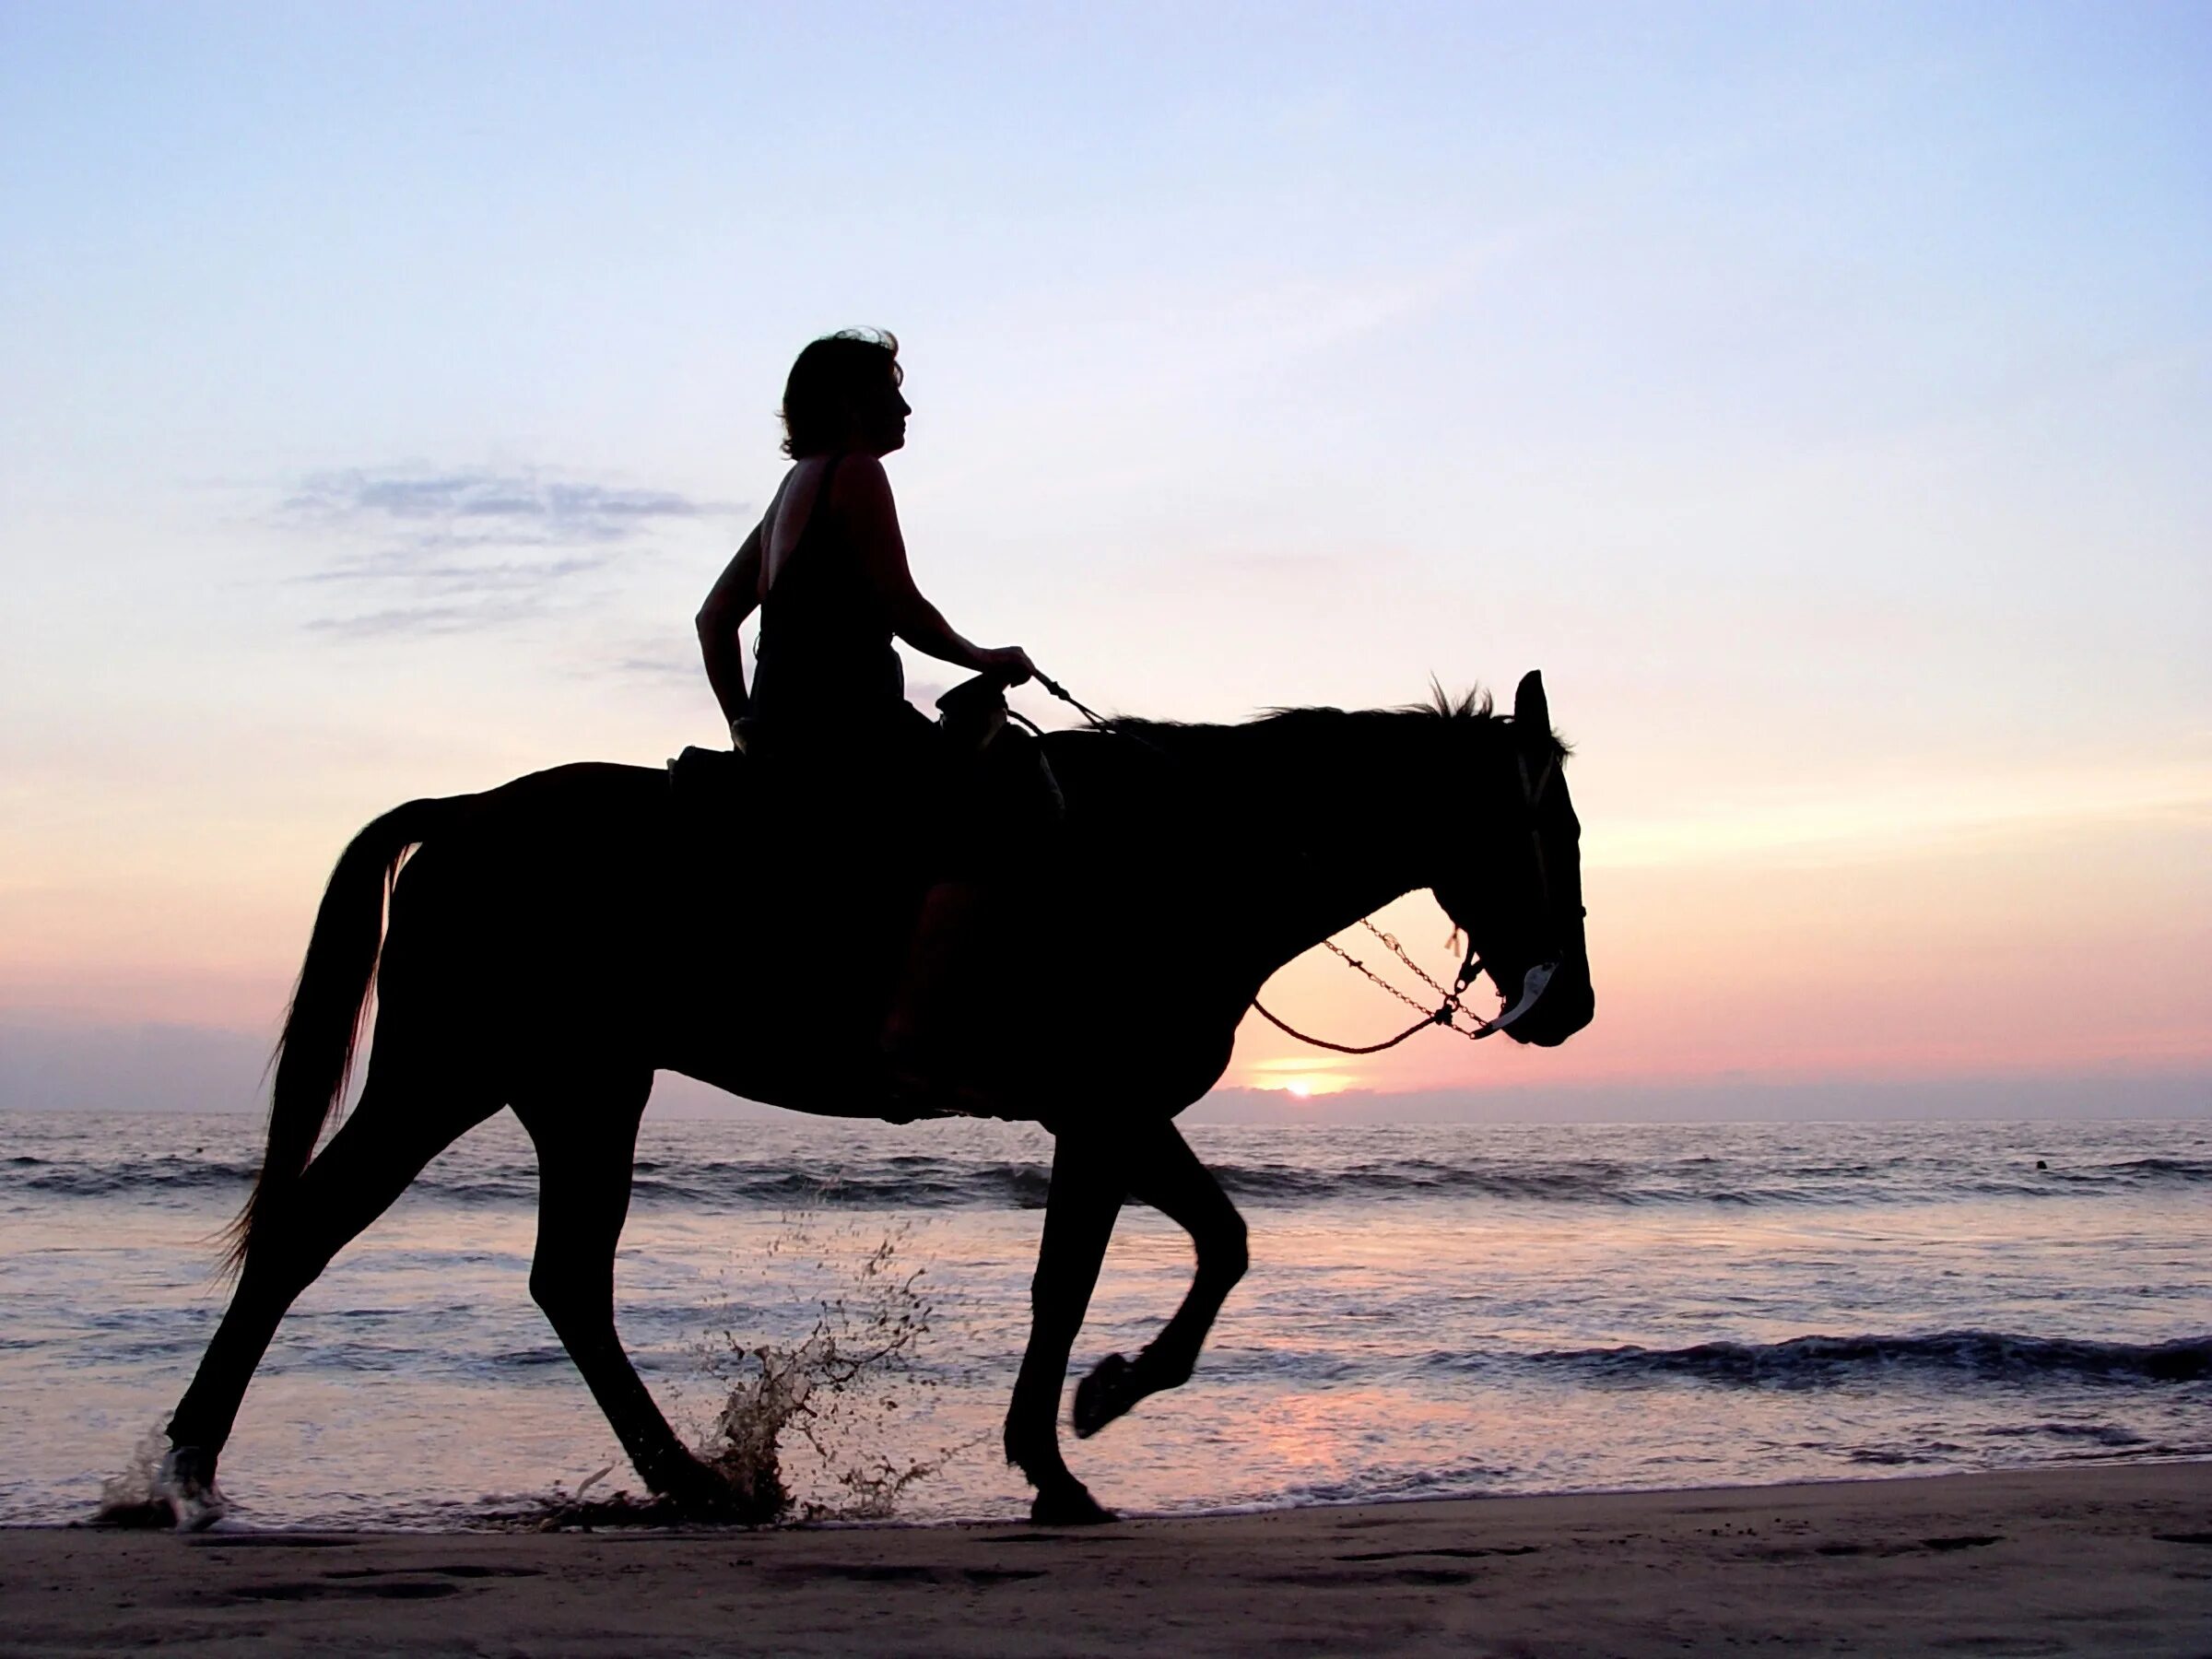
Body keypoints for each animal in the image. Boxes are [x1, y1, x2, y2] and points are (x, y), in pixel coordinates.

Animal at [156, 667, 1593, 1530]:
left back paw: (692, 1483)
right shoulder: (1105, 1107)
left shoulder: (1106, 1116)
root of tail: (462, 814)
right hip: (449, 1070)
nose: (1568, 1005)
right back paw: (186, 1471)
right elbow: (1142, 1264)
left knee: (566, 1281)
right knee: (307, 1238)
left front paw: (1075, 1428)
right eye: (1563, 829)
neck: (1181, 856)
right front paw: (1088, 1422)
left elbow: (1163, 1256)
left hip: (583, 1088)